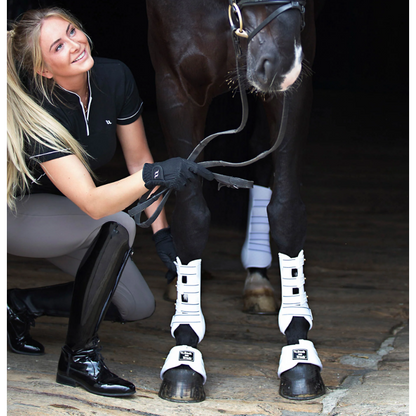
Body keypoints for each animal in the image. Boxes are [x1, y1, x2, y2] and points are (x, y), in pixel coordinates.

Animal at [145, 0, 326, 404]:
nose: (281, 63)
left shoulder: (294, 85)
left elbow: (286, 210)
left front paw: (299, 350)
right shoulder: (175, 87)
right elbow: (192, 217)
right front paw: (185, 354)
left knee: (260, 154)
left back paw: (257, 279)